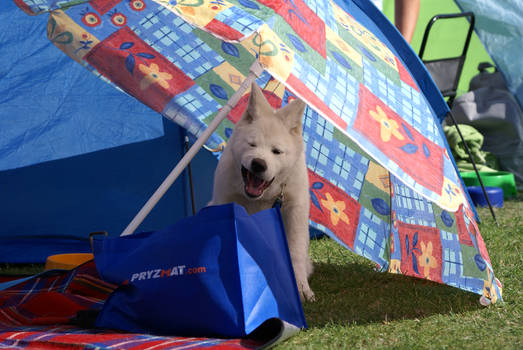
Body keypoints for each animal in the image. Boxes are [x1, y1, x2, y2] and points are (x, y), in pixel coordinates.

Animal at [209, 83, 316, 302]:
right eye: (252, 144)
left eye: (276, 151)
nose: (259, 164)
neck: (262, 197)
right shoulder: (224, 201)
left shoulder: (295, 210)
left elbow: (295, 251)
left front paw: (301, 288)